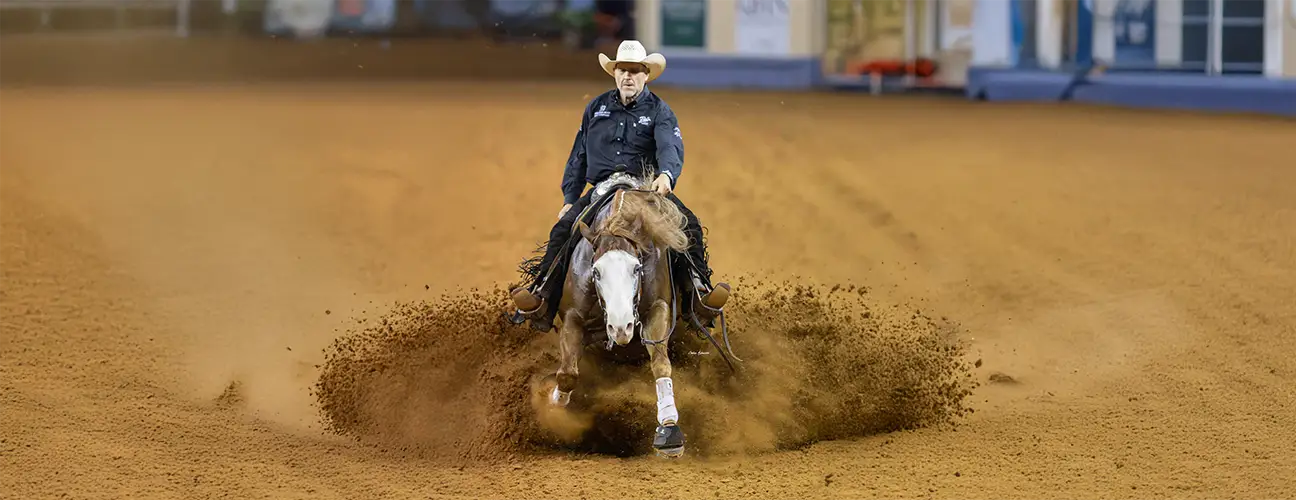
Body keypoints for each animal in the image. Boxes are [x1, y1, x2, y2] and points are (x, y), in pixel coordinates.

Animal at [544, 173, 694, 458]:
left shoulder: (658, 309)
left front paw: (669, 430)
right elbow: (568, 374)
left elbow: (661, 364)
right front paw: (553, 415)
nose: (621, 328)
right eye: (596, 271)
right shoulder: (572, 317)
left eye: (636, 268)